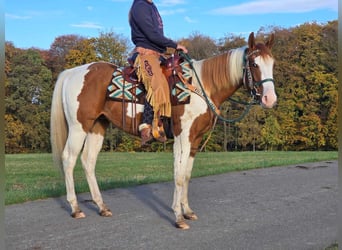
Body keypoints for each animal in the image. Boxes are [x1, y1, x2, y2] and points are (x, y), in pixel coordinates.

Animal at [50, 32, 276, 229]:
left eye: (272, 64)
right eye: (254, 64)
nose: (269, 99)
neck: (201, 87)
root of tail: (72, 73)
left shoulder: (195, 140)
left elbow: (186, 175)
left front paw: (187, 211)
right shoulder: (182, 138)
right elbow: (178, 175)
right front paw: (178, 217)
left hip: (97, 127)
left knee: (88, 161)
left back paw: (101, 206)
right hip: (79, 127)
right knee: (69, 159)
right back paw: (75, 208)